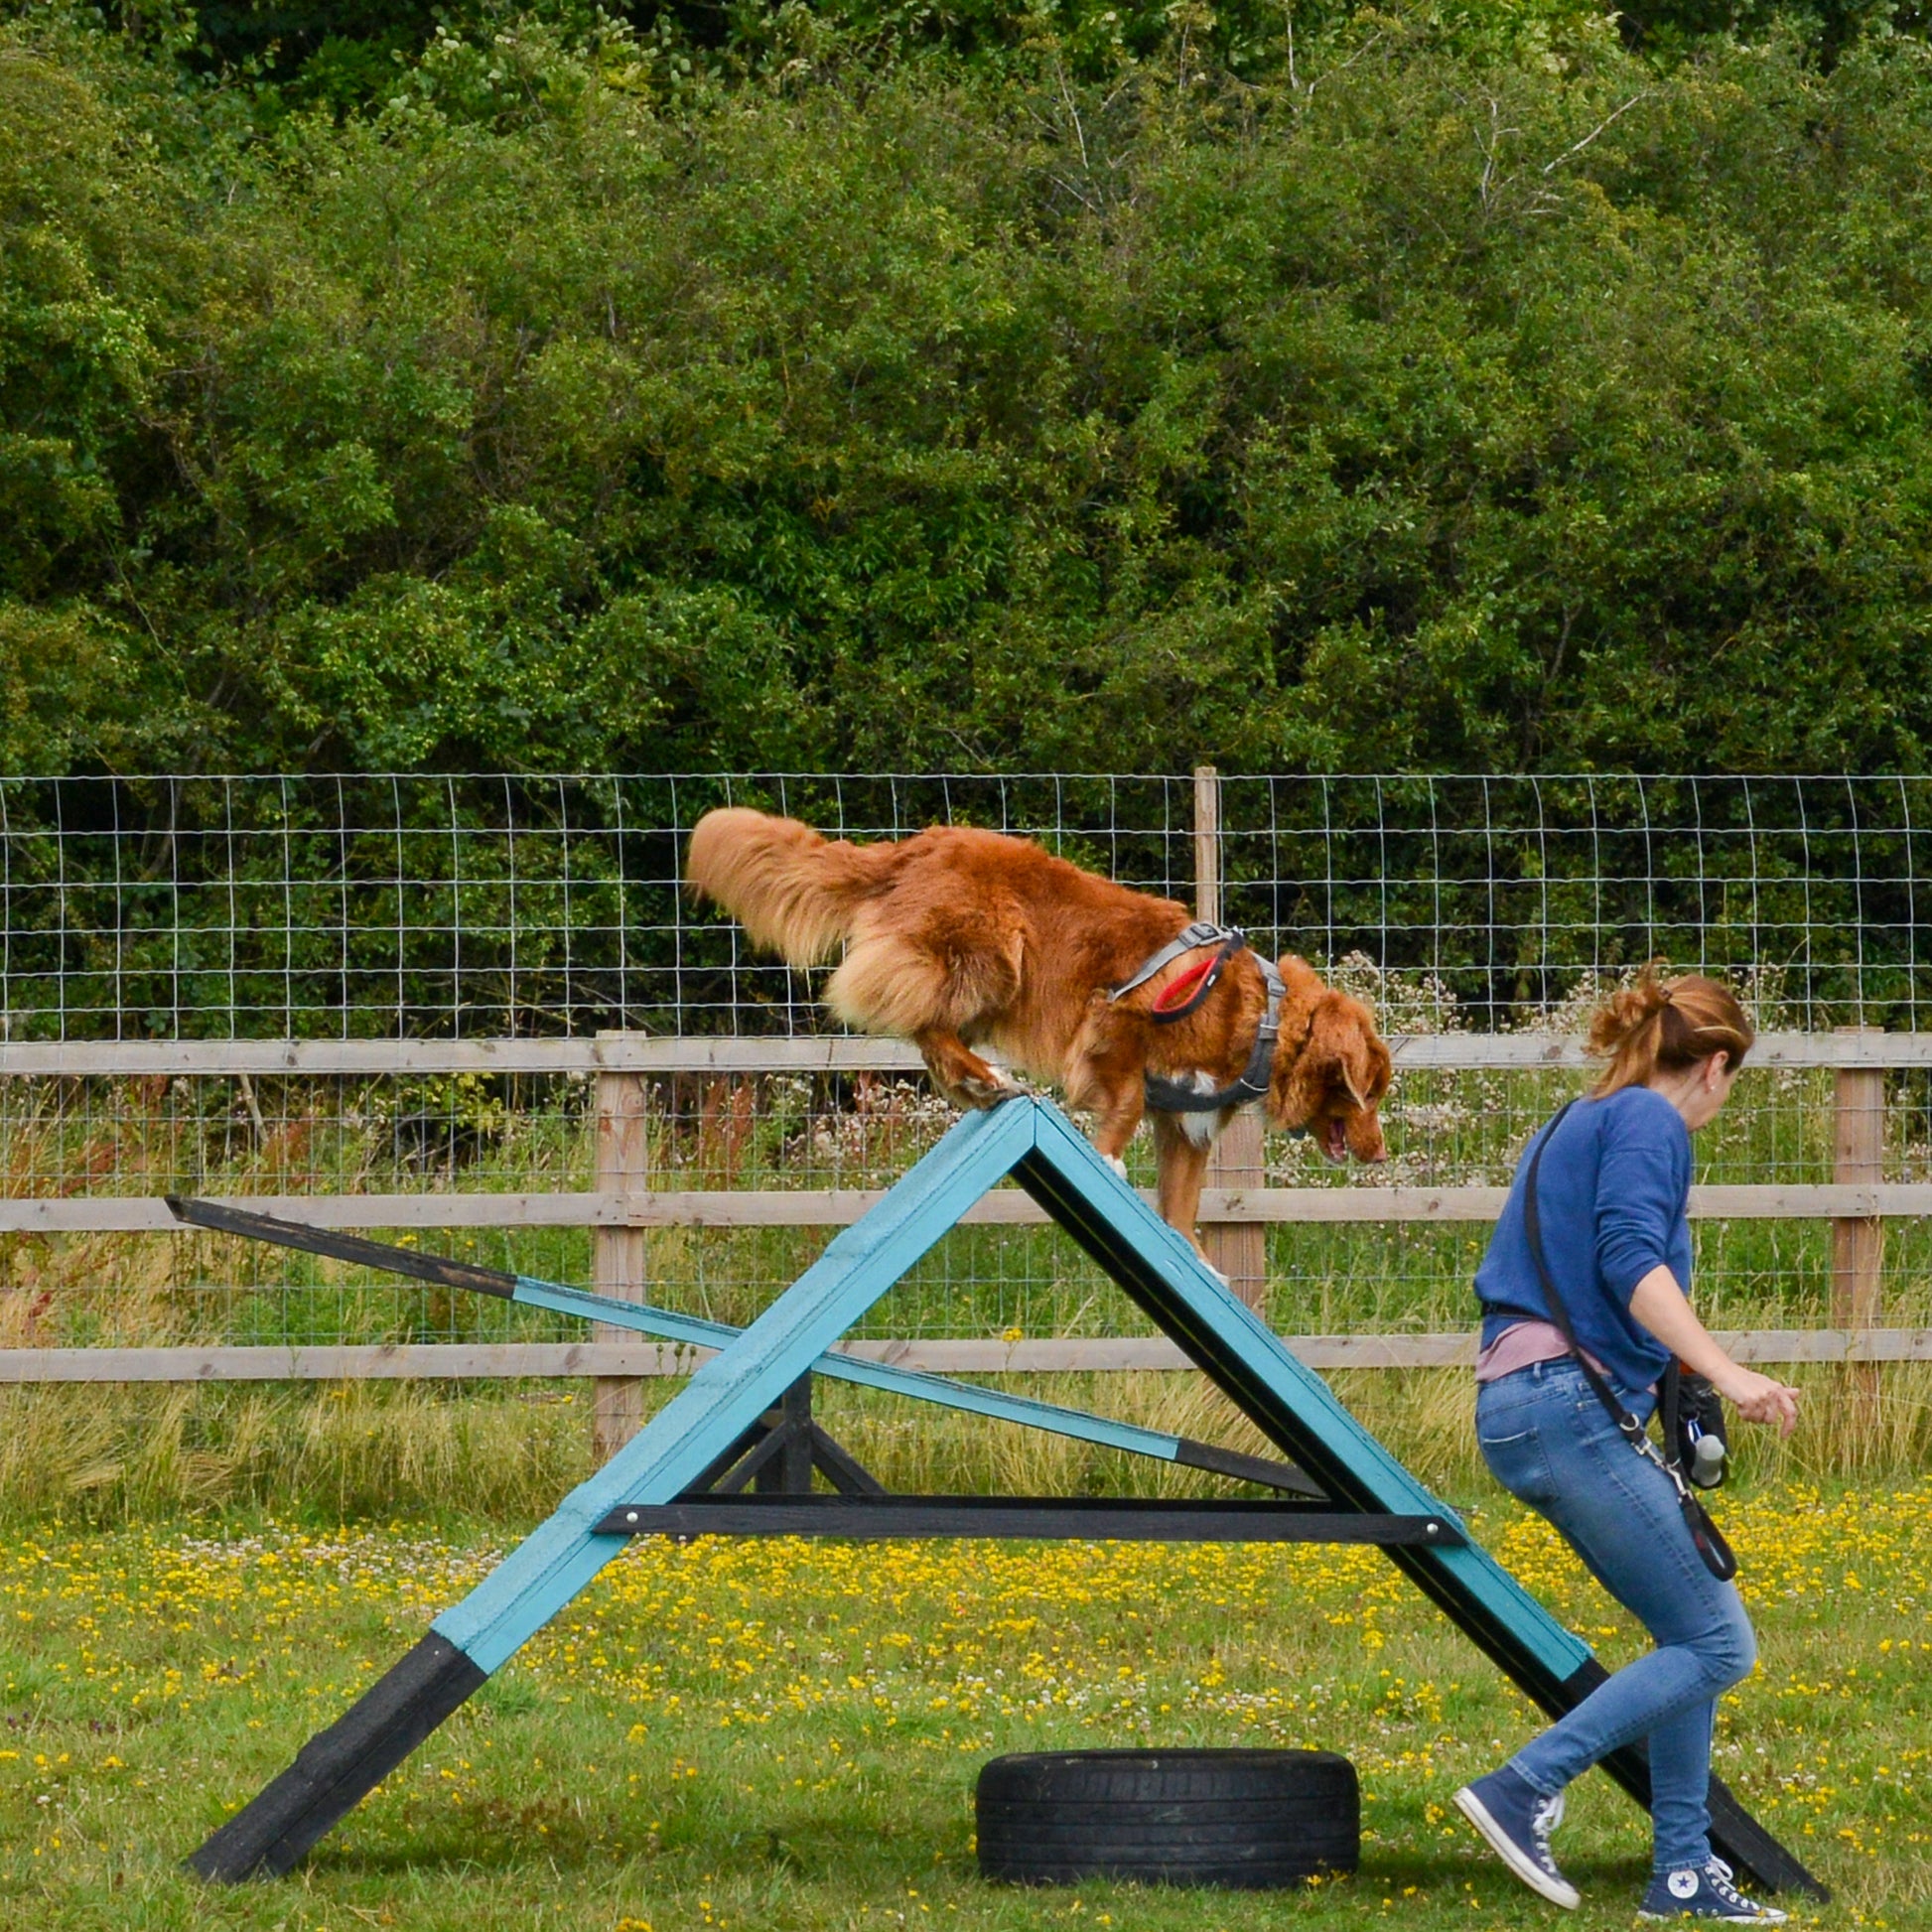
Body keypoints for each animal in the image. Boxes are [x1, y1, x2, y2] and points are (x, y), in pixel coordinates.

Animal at [691, 811, 1391, 1252]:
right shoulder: (1115, 1020)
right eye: (1368, 1093)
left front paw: (1196, 1261)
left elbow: (1181, 1203)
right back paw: (990, 1078)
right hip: (992, 951)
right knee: (927, 1024)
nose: (1381, 1154)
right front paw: (1107, 1161)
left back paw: (981, 1086)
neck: (1264, 1018)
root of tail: (911, 846)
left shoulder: (1185, 1126)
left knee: (931, 1037)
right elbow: (1125, 1102)